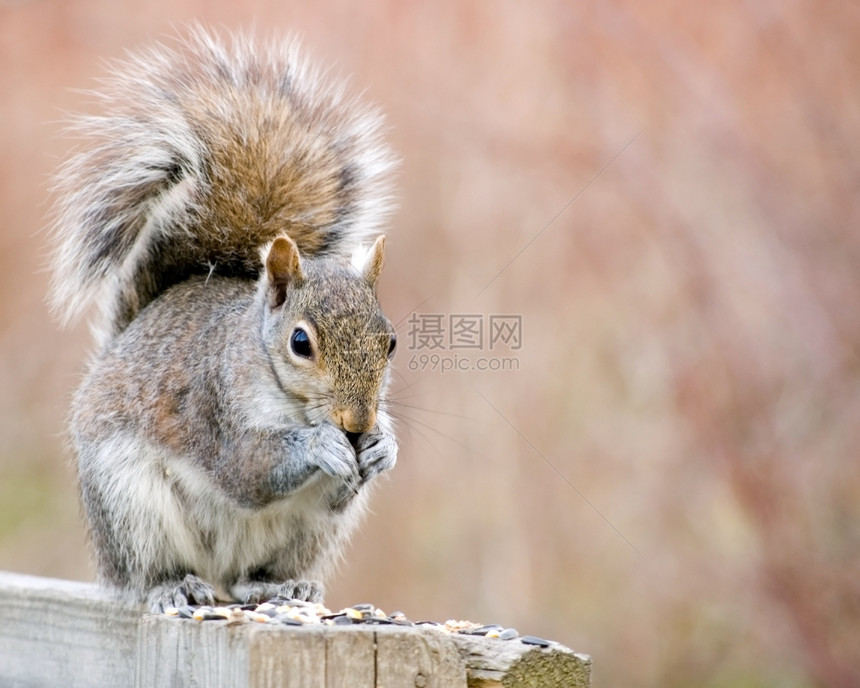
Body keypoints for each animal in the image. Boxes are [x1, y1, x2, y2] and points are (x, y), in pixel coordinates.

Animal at [52, 28, 402, 612]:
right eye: (300, 342)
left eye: (391, 343)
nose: (357, 424)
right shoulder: (214, 406)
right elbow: (246, 469)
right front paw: (320, 445)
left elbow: (338, 490)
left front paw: (382, 447)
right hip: (129, 506)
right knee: (147, 571)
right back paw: (173, 586)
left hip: (307, 536)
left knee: (247, 576)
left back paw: (279, 586)